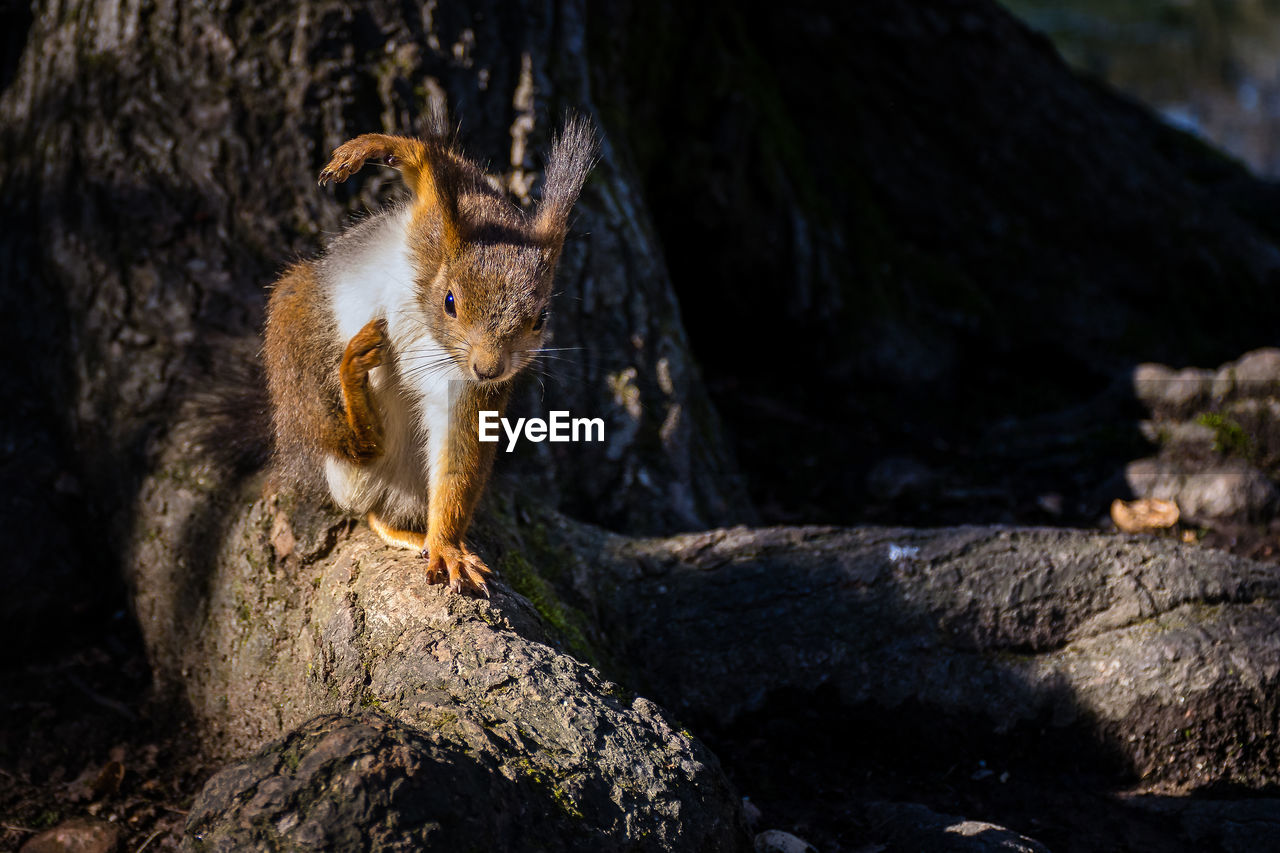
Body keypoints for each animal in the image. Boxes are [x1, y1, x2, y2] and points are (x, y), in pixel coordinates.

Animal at [263, 116, 599, 594]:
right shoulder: (435, 218)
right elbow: (429, 167)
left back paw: (409, 531)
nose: (489, 369)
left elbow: (459, 456)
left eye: (541, 319)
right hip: (298, 338)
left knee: (375, 506)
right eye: (450, 302)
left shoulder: (464, 389)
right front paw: (370, 148)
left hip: (400, 481)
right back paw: (353, 385)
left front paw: (447, 547)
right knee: (346, 441)